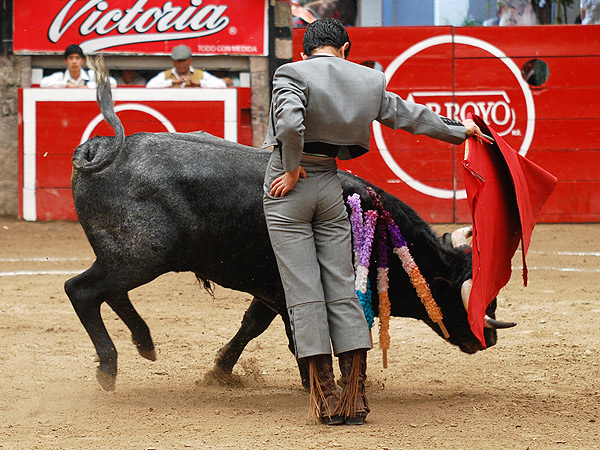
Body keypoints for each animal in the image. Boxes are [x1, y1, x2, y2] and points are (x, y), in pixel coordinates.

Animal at [64, 80, 502, 390]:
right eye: (459, 297)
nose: (489, 339)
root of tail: (102, 148)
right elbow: (301, 335)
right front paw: (323, 385)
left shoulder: (271, 290)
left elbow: (252, 325)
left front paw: (220, 371)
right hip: (143, 255)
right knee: (82, 291)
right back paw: (109, 368)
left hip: (130, 258)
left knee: (111, 293)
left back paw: (145, 344)